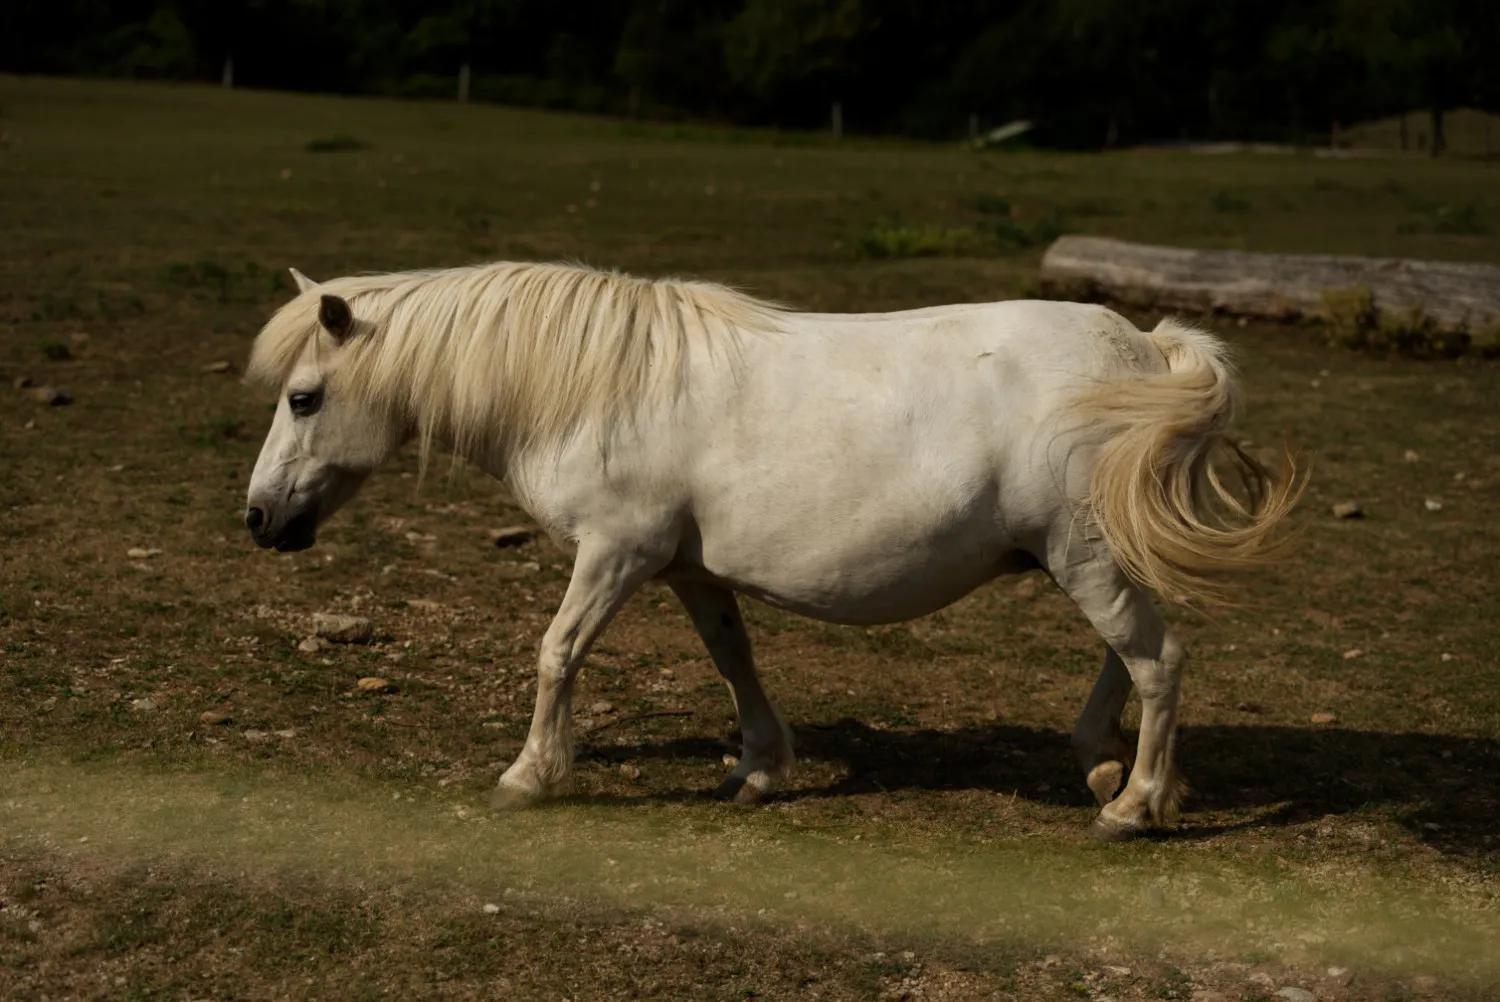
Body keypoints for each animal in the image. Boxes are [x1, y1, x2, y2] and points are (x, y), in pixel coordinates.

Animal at [246, 262, 1302, 840]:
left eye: (304, 398)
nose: (258, 519)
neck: (598, 387)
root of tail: (1145, 348)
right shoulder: (687, 571)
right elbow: (734, 661)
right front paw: (757, 768)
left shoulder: (616, 554)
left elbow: (557, 653)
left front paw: (531, 776)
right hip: (1087, 557)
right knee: (1132, 654)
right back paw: (1100, 763)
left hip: (1083, 557)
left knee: (1156, 659)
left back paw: (1135, 804)